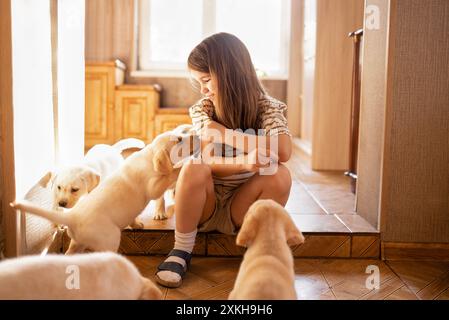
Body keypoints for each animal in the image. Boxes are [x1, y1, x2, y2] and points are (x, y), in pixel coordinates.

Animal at [10, 126, 199, 254]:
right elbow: (168, 177)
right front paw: (183, 168)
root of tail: (73, 217)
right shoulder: (153, 186)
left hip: (77, 242)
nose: (196, 135)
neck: (149, 155)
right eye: (179, 140)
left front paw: (136, 224)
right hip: (109, 240)